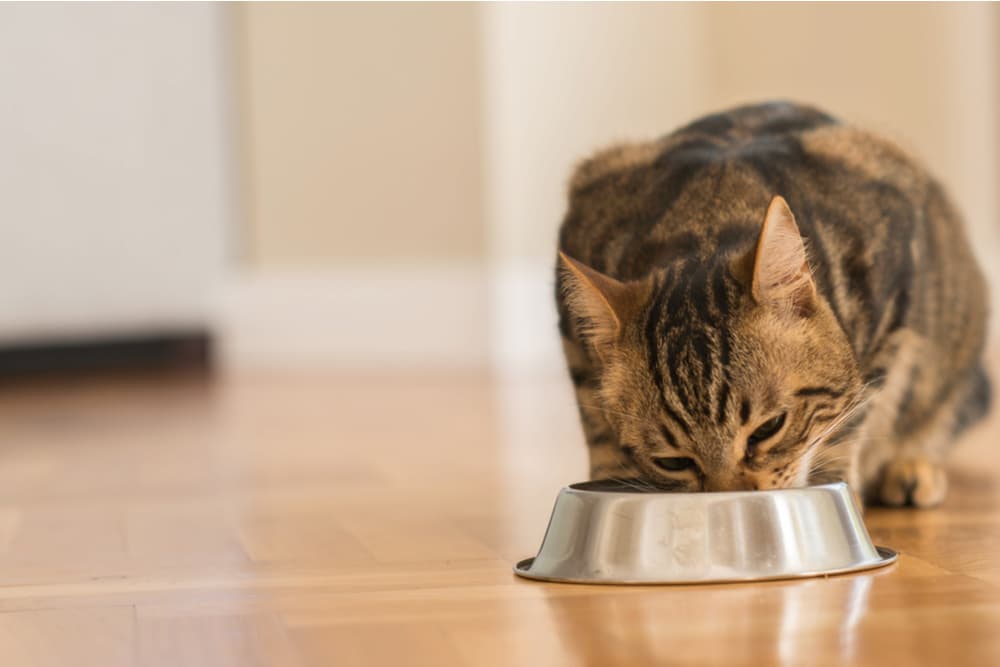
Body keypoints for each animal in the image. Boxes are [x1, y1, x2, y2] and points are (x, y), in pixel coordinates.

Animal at [560, 100, 988, 506]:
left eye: (769, 428)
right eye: (673, 461)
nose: (730, 495)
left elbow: (852, 420)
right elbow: (597, 427)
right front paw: (609, 478)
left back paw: (911, 466)